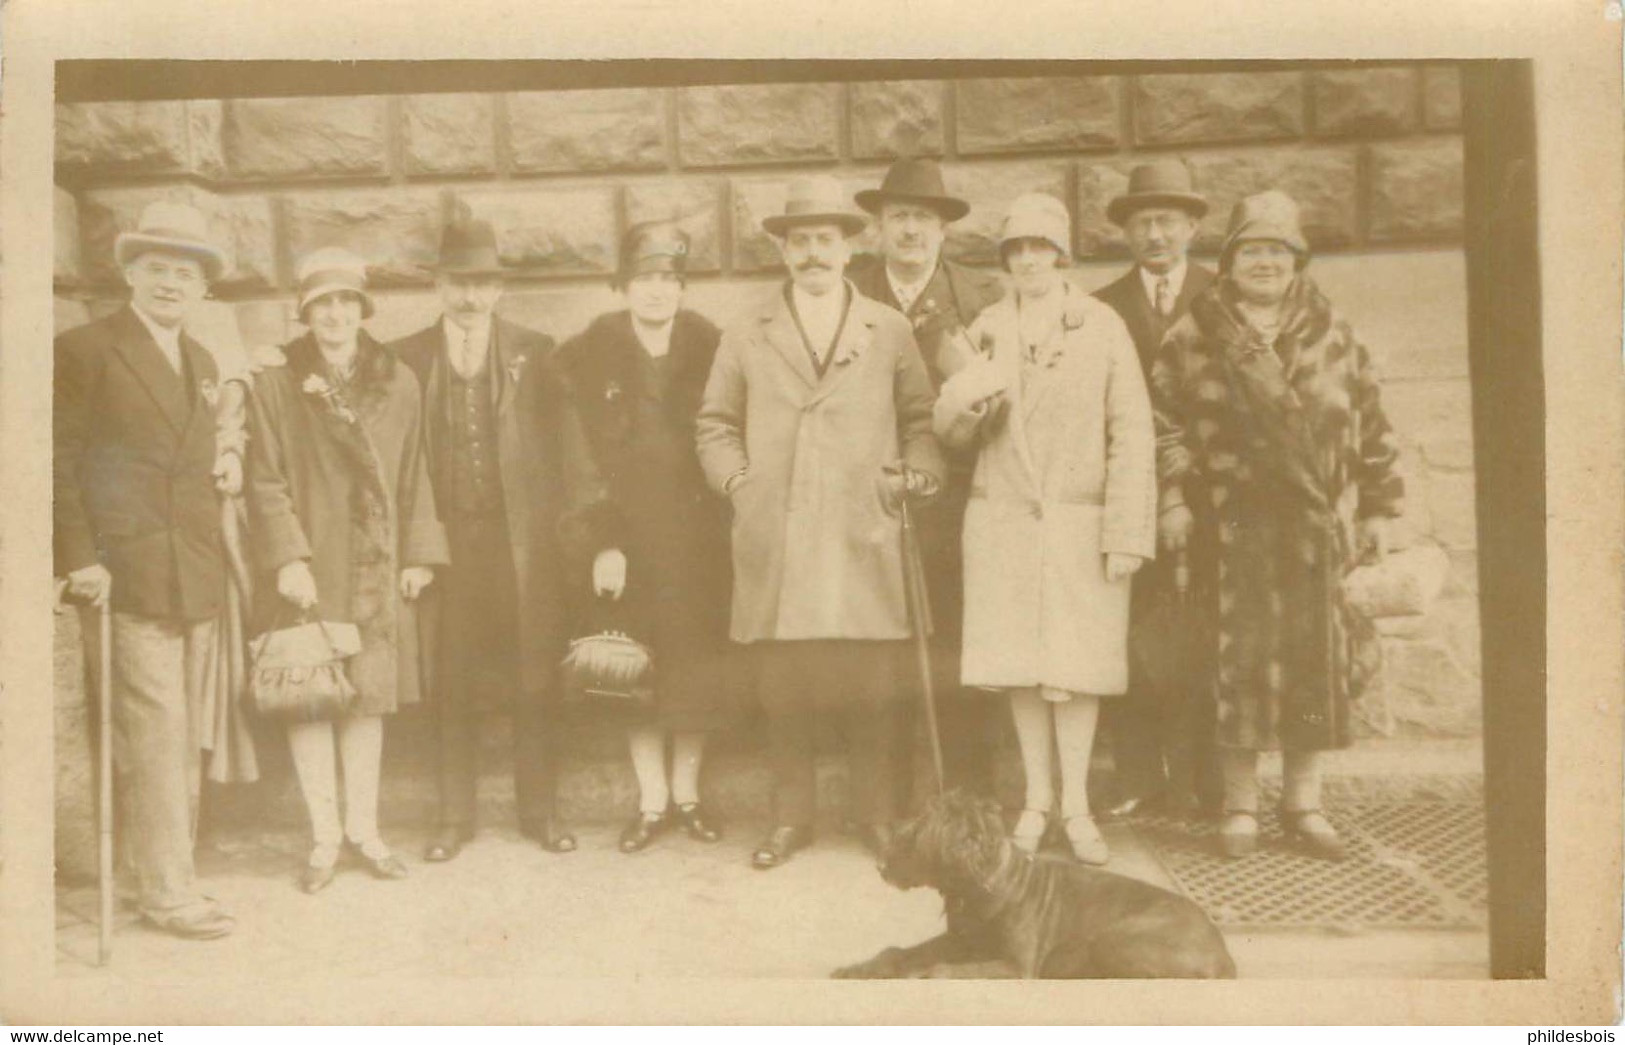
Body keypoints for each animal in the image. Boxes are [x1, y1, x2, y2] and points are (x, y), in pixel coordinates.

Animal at [838, 793, 1228, 981]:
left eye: (918, 835)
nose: (880, 866)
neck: (985, 887)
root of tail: (1223, 956)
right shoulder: (958, 941)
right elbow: (896, 952)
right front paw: (857, 969)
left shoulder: (1015, 966)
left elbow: (941, 970)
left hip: (1116, 939)